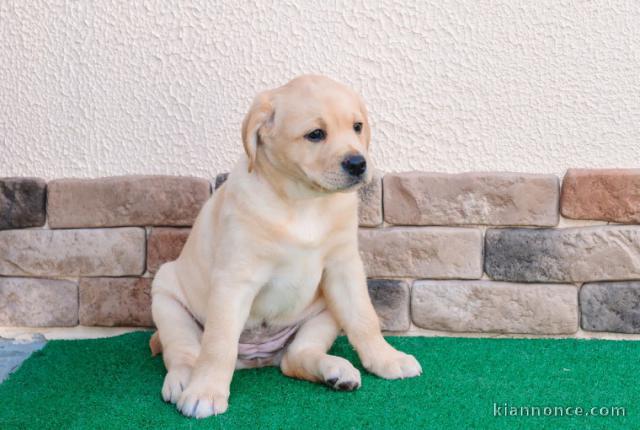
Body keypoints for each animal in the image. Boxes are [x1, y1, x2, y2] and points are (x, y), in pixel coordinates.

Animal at [149, 74, 420, 416]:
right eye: (315, 134)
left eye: (357, 127)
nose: (358, 164)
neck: (304, 201)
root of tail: (257, 358)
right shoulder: (234, 278)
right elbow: (218, 343)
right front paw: (205, 391)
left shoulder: (344, 268)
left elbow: (364, 318)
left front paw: (386, 359)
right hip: (167, 301)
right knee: (183, 352)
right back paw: (183, 381)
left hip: (324, 310)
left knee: (296, 357)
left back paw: (335, 370)